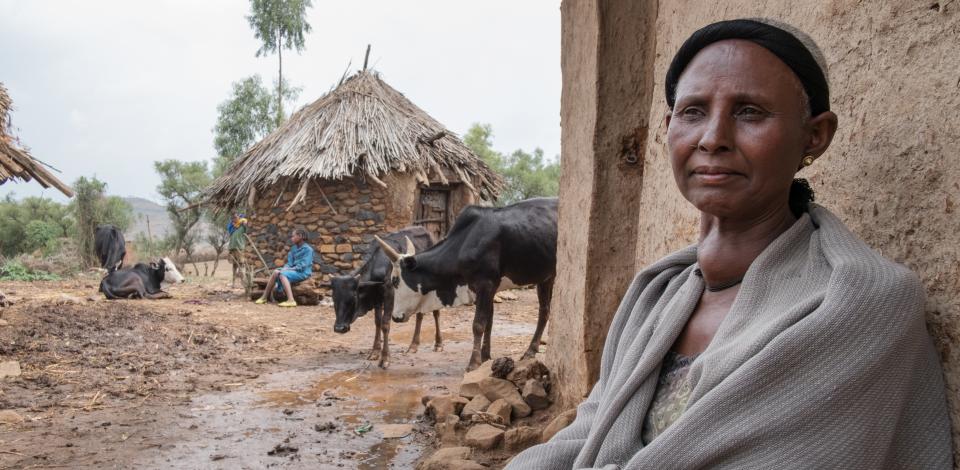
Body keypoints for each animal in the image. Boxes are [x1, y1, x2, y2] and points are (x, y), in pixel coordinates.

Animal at [326, 226, 438, 370]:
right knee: (420, 314)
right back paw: (414, 345)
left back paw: (438, 344)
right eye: (334, 297)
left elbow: (385, 324)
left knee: (436, 313)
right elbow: (377, 322)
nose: (339, 328)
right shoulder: (377, 299)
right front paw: (375, 352)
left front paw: (385, 358)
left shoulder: (390, 296)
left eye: (353, 297)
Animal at [374, 196, 556, 370]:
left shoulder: (486, 285)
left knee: (544, 312)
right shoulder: (484, 289)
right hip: (546, 278)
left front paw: (474, 363)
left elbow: (478, 324)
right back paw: (531, 350)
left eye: (395, 280)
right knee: (544, 311)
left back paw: (530, 351)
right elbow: (488, 322)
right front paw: (485, 356)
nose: (396, 317)